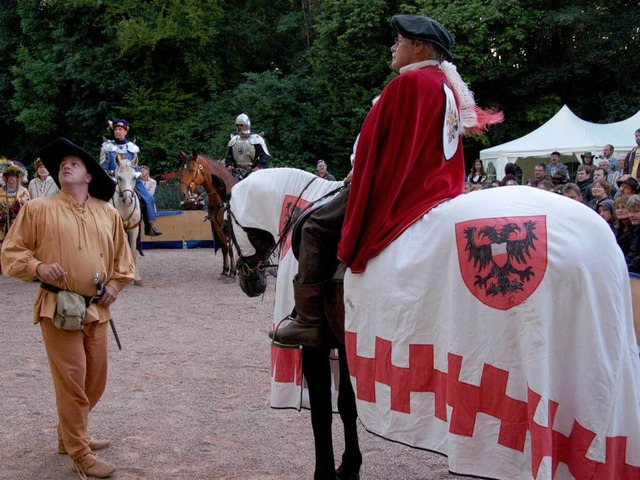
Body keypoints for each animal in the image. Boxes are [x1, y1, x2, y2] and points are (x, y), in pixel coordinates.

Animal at [230, 169, 640, 480]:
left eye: (223, 220)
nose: (250, 282)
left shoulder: (316, 344)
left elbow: (320, 417)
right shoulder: (347, 339)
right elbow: (346, 404)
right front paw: (350, 467)